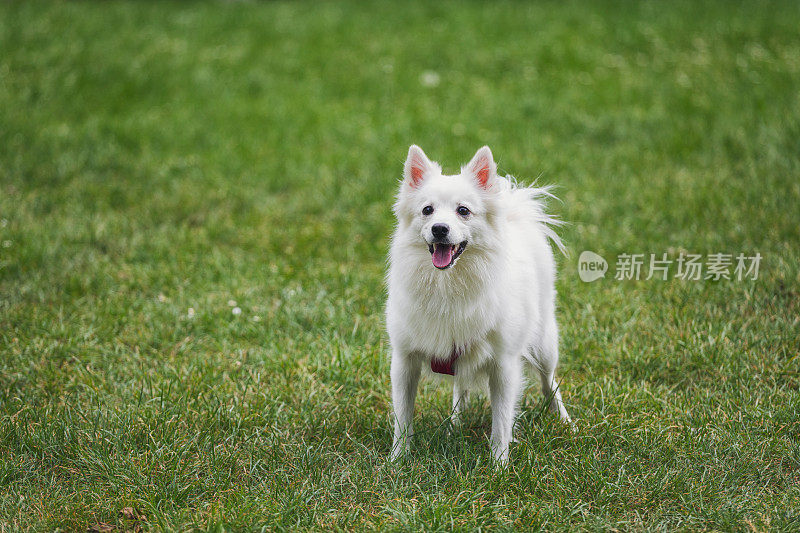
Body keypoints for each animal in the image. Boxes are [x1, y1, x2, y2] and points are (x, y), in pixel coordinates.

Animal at [386, 144, 568, 462]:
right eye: (427, 210)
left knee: (550, 382)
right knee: (461, 388)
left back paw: (566, 421)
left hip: (544, 345)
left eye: (463, 211)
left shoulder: (504, 365)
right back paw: (454, 425)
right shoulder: (405, 361)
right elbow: (402, 417)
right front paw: (397, 461)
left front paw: (499, 464)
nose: (440, 228)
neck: (448, 284)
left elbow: (501, 421)